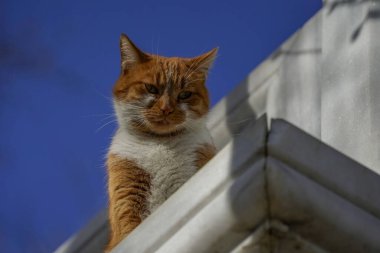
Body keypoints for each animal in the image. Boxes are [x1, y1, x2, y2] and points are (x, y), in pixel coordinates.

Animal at [105, 34, 218, 253]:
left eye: (184, 94)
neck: (159, 143)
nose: (166, 108)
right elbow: (128, 229)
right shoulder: (128, 196)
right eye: (151, 89)